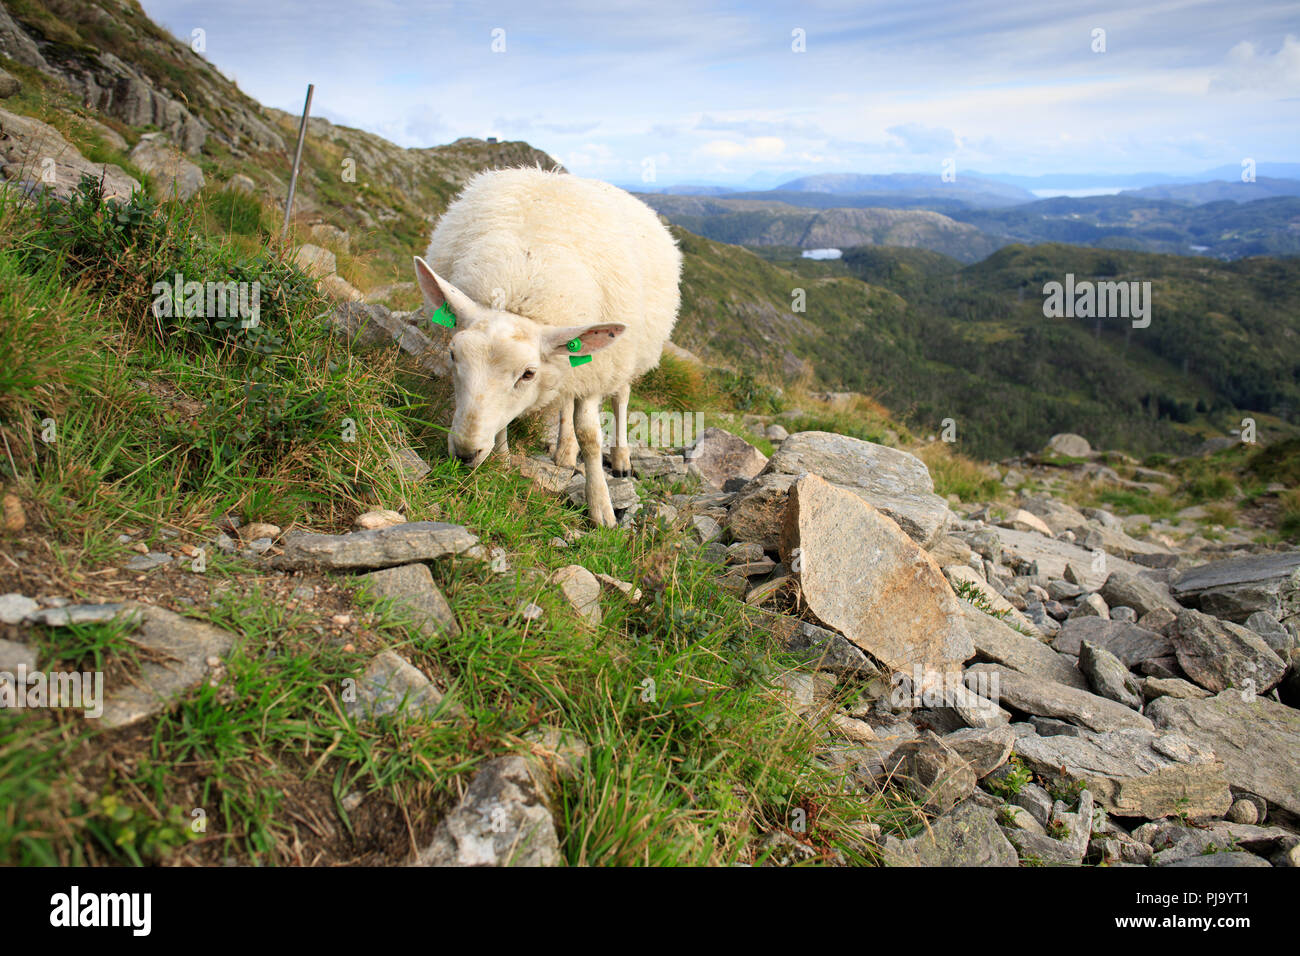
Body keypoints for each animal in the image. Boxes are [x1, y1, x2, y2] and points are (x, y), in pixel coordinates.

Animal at [413, 164, 681, 522]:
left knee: (620, 396)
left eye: (528, 374)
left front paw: (601, 508)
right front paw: (502, 460)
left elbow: (590, 435)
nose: (465, 453)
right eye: (453, 355)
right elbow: (510, 419)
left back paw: (621, 458)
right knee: (566, 400)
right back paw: (564, 452)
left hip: (625, 353)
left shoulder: (596, 368)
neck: (522, 282)